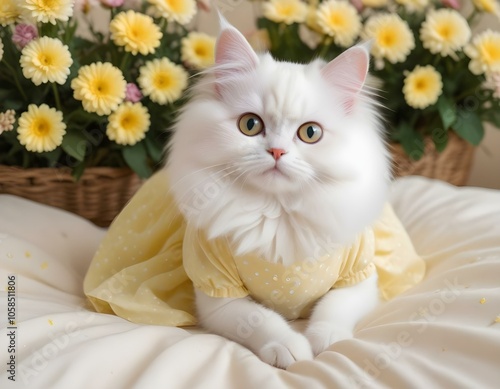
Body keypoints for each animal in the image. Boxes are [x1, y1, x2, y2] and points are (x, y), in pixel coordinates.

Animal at [166, 17, 388, 366]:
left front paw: (326, 340)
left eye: (310, 133)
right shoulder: (216, 293)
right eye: (250, 125)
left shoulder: (360, 278)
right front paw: (291, 349)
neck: (277, 213)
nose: (277, 152)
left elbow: (333, 309)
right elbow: (260, 319)